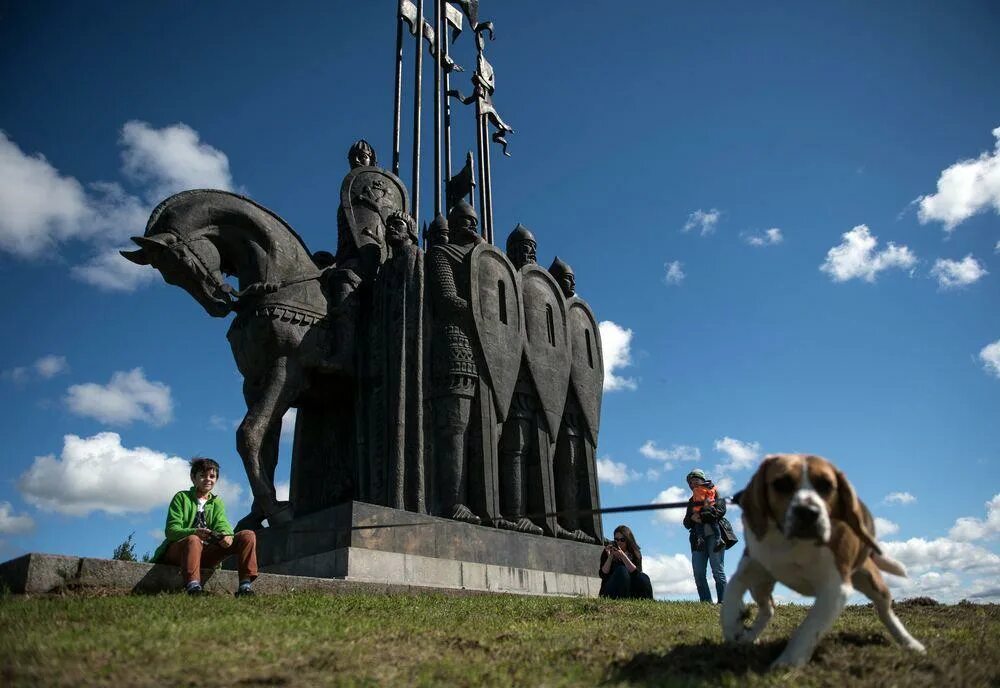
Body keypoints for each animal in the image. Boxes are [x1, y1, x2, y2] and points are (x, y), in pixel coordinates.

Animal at [720, 454, 920, 668]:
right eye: (782, 483)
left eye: (826, 485)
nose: (808, 512)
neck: (794, 543)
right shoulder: (752, 565)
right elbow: (731, 591)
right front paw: (733, 627)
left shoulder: (835, 589)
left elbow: (809, 627)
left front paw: (788, 662)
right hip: (760, 586)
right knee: (768, 609)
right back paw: (750, 637)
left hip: (873, 584)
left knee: (886, 613)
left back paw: (910, 642)